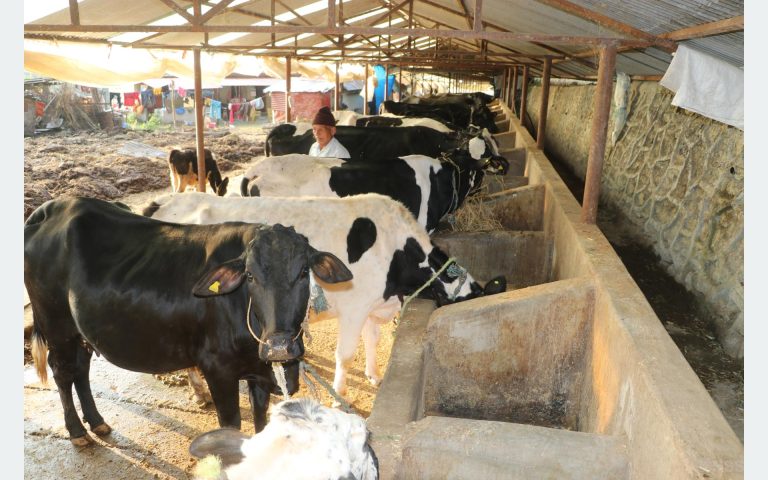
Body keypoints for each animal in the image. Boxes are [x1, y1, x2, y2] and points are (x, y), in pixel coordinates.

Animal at [25, 196, 352, 445]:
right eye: (250, 276)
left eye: (303, 272)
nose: (279, 347)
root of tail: (53, 207)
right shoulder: (217, 369)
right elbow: (230, 424)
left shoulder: (258, 374)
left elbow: (260, 421)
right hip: (55, 325)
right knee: (62, 372)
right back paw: (77, 431)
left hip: (79, 332)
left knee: (81, 369)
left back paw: (97, 422)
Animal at [142, 193, 507, 400]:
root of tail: (165, 201)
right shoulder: (355, 306)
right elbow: (345, 355)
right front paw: (339, 396)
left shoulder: (371, 304)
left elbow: (372, 340)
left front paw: (375, 375)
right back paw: (200, 390)